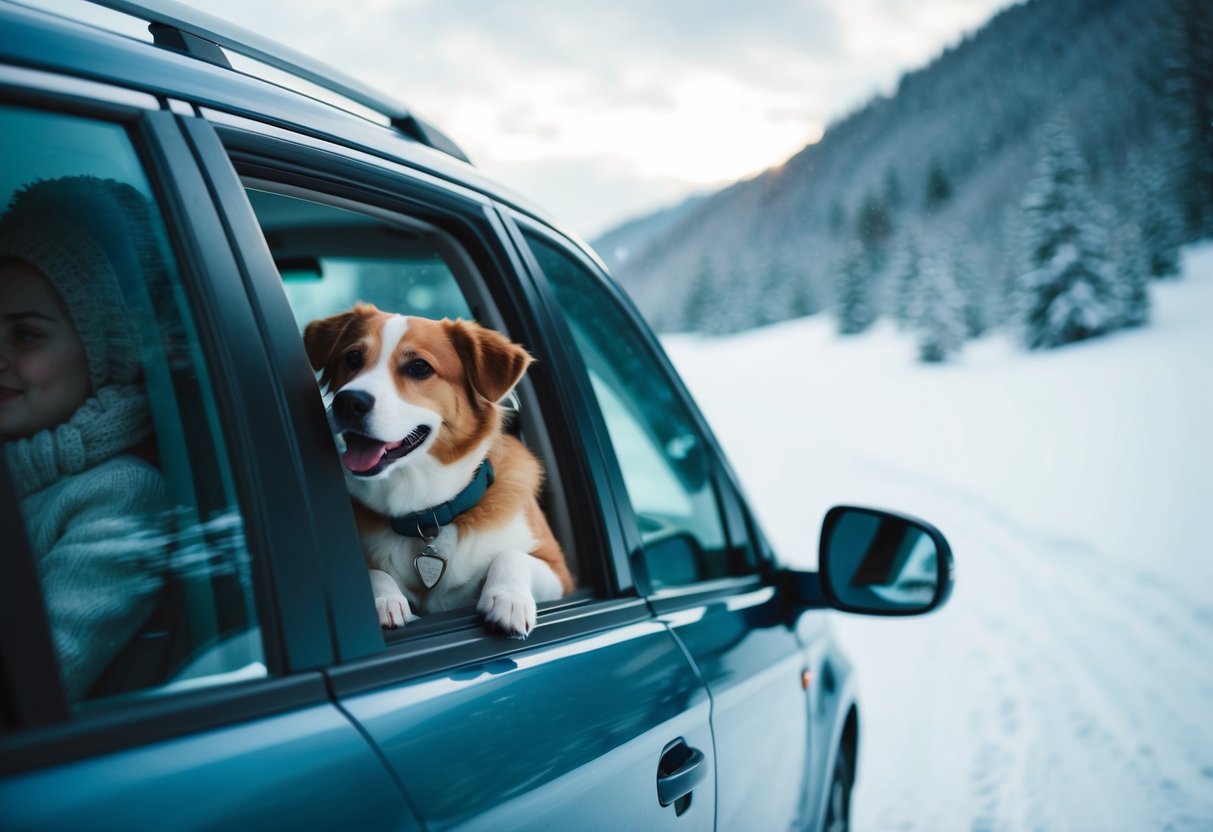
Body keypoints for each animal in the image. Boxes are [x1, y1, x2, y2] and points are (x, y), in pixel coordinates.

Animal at [300, 306, 570, 640]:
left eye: (419, 367)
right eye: (352, 358)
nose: (348, 402)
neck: (425, 514)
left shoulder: (561, 574)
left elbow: (512, 555)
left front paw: (509, 600)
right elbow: (370, 571)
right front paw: (385, 598)